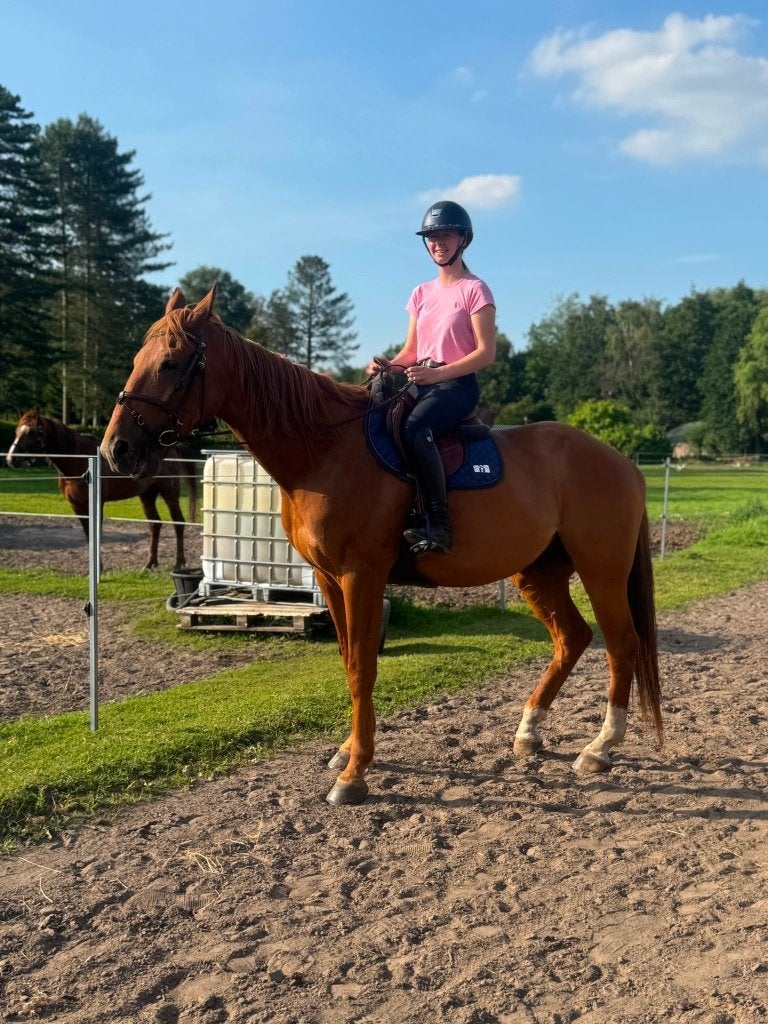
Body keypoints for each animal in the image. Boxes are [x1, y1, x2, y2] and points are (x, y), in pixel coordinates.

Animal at [7, 409, 198, 570]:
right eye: (16, 431)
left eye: (32, 432)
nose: (11, 459)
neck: (79, 461)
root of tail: (172, 450)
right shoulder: (77, 506)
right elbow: (88, 535)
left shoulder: (96, 505)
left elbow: (95, 535)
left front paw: (99, 568)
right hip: (147, 495)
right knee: (155, 524)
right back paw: (150, 563)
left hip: (170, 492)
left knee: (178, 523)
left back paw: (179, 563)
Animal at [102, 286, 662, 806]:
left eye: (171, 362)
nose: (116, 449)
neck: (324, 449)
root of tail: (619, 460)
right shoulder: (329, 578)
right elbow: (348, 658)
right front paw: (348, 752)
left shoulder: (361, 576)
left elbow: (362, 667)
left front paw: (355, 775)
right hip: (539, 573)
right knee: (572, 639)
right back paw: (530, 732)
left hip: (602, 571)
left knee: (622, 644)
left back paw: (600, 747)